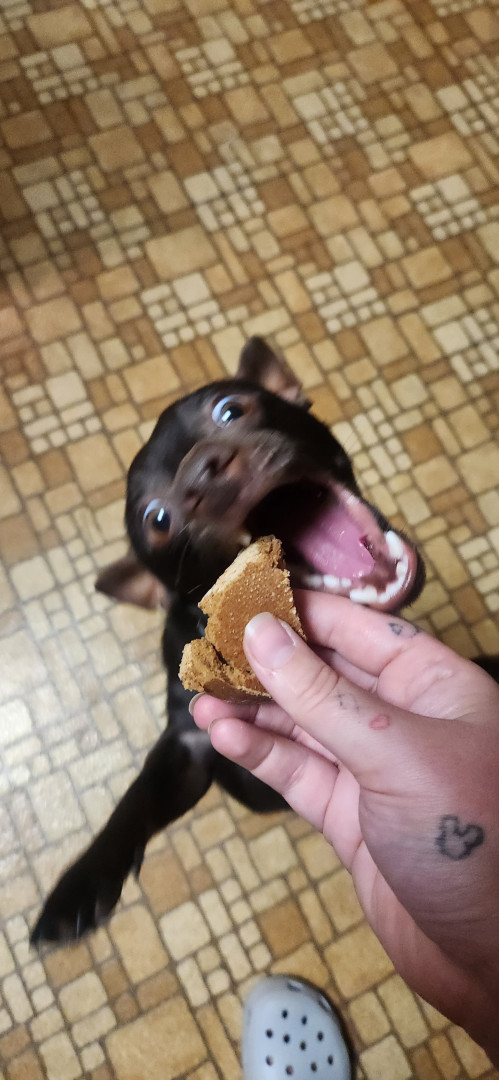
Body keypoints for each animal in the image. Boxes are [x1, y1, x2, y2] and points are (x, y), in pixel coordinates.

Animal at [31, 336, 430, 944]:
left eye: (231, 410)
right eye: (157, 521)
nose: (205, 470)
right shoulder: (191, 743)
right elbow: (137, 797)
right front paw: (78, 885)